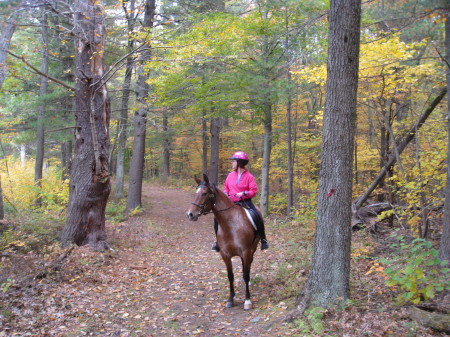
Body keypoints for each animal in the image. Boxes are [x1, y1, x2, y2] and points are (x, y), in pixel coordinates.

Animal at [185, 173, 258, 310]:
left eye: (204, 193)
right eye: (195, 193)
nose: (190, 214)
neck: (231, 226)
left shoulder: (246, 251)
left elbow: (246, 274)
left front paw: (247, 300)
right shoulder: (225, 255)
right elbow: (230, 276)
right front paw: (230, 299)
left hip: (252, 249)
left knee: (248, 266)